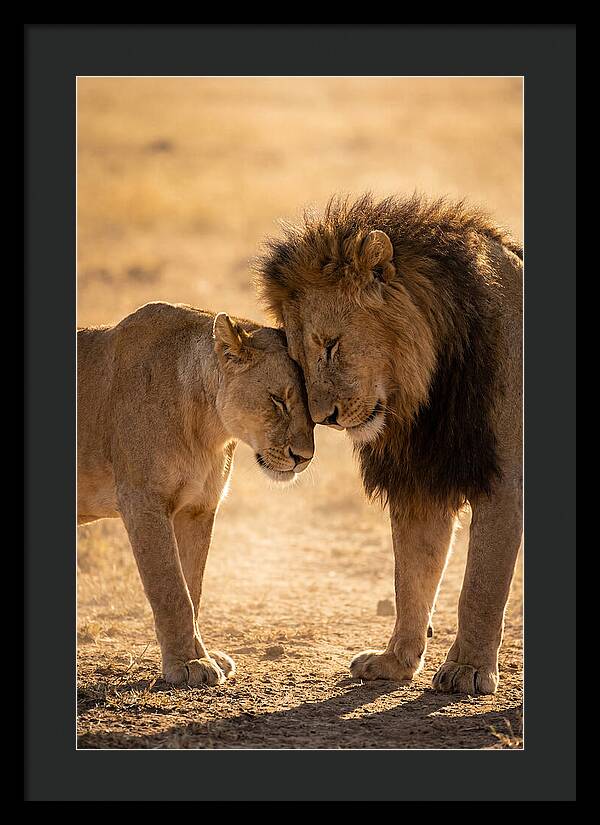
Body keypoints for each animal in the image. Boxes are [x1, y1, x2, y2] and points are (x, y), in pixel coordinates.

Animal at [77, 301, 314, 686]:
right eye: (278, 400)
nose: (304, 457)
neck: (208, 428)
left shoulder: (198, 508)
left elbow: (193, 587)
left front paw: (203, 655)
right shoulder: (142, 501)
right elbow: (172, 590)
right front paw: (187, 664)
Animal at [256, 193, 523, 695]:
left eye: (331, 345)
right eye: (298, 359)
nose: (324, 418)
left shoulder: (504, 481)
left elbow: (480, 586)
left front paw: (468, 669)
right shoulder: (420, 483)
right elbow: (411, 577)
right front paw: (396, 661)